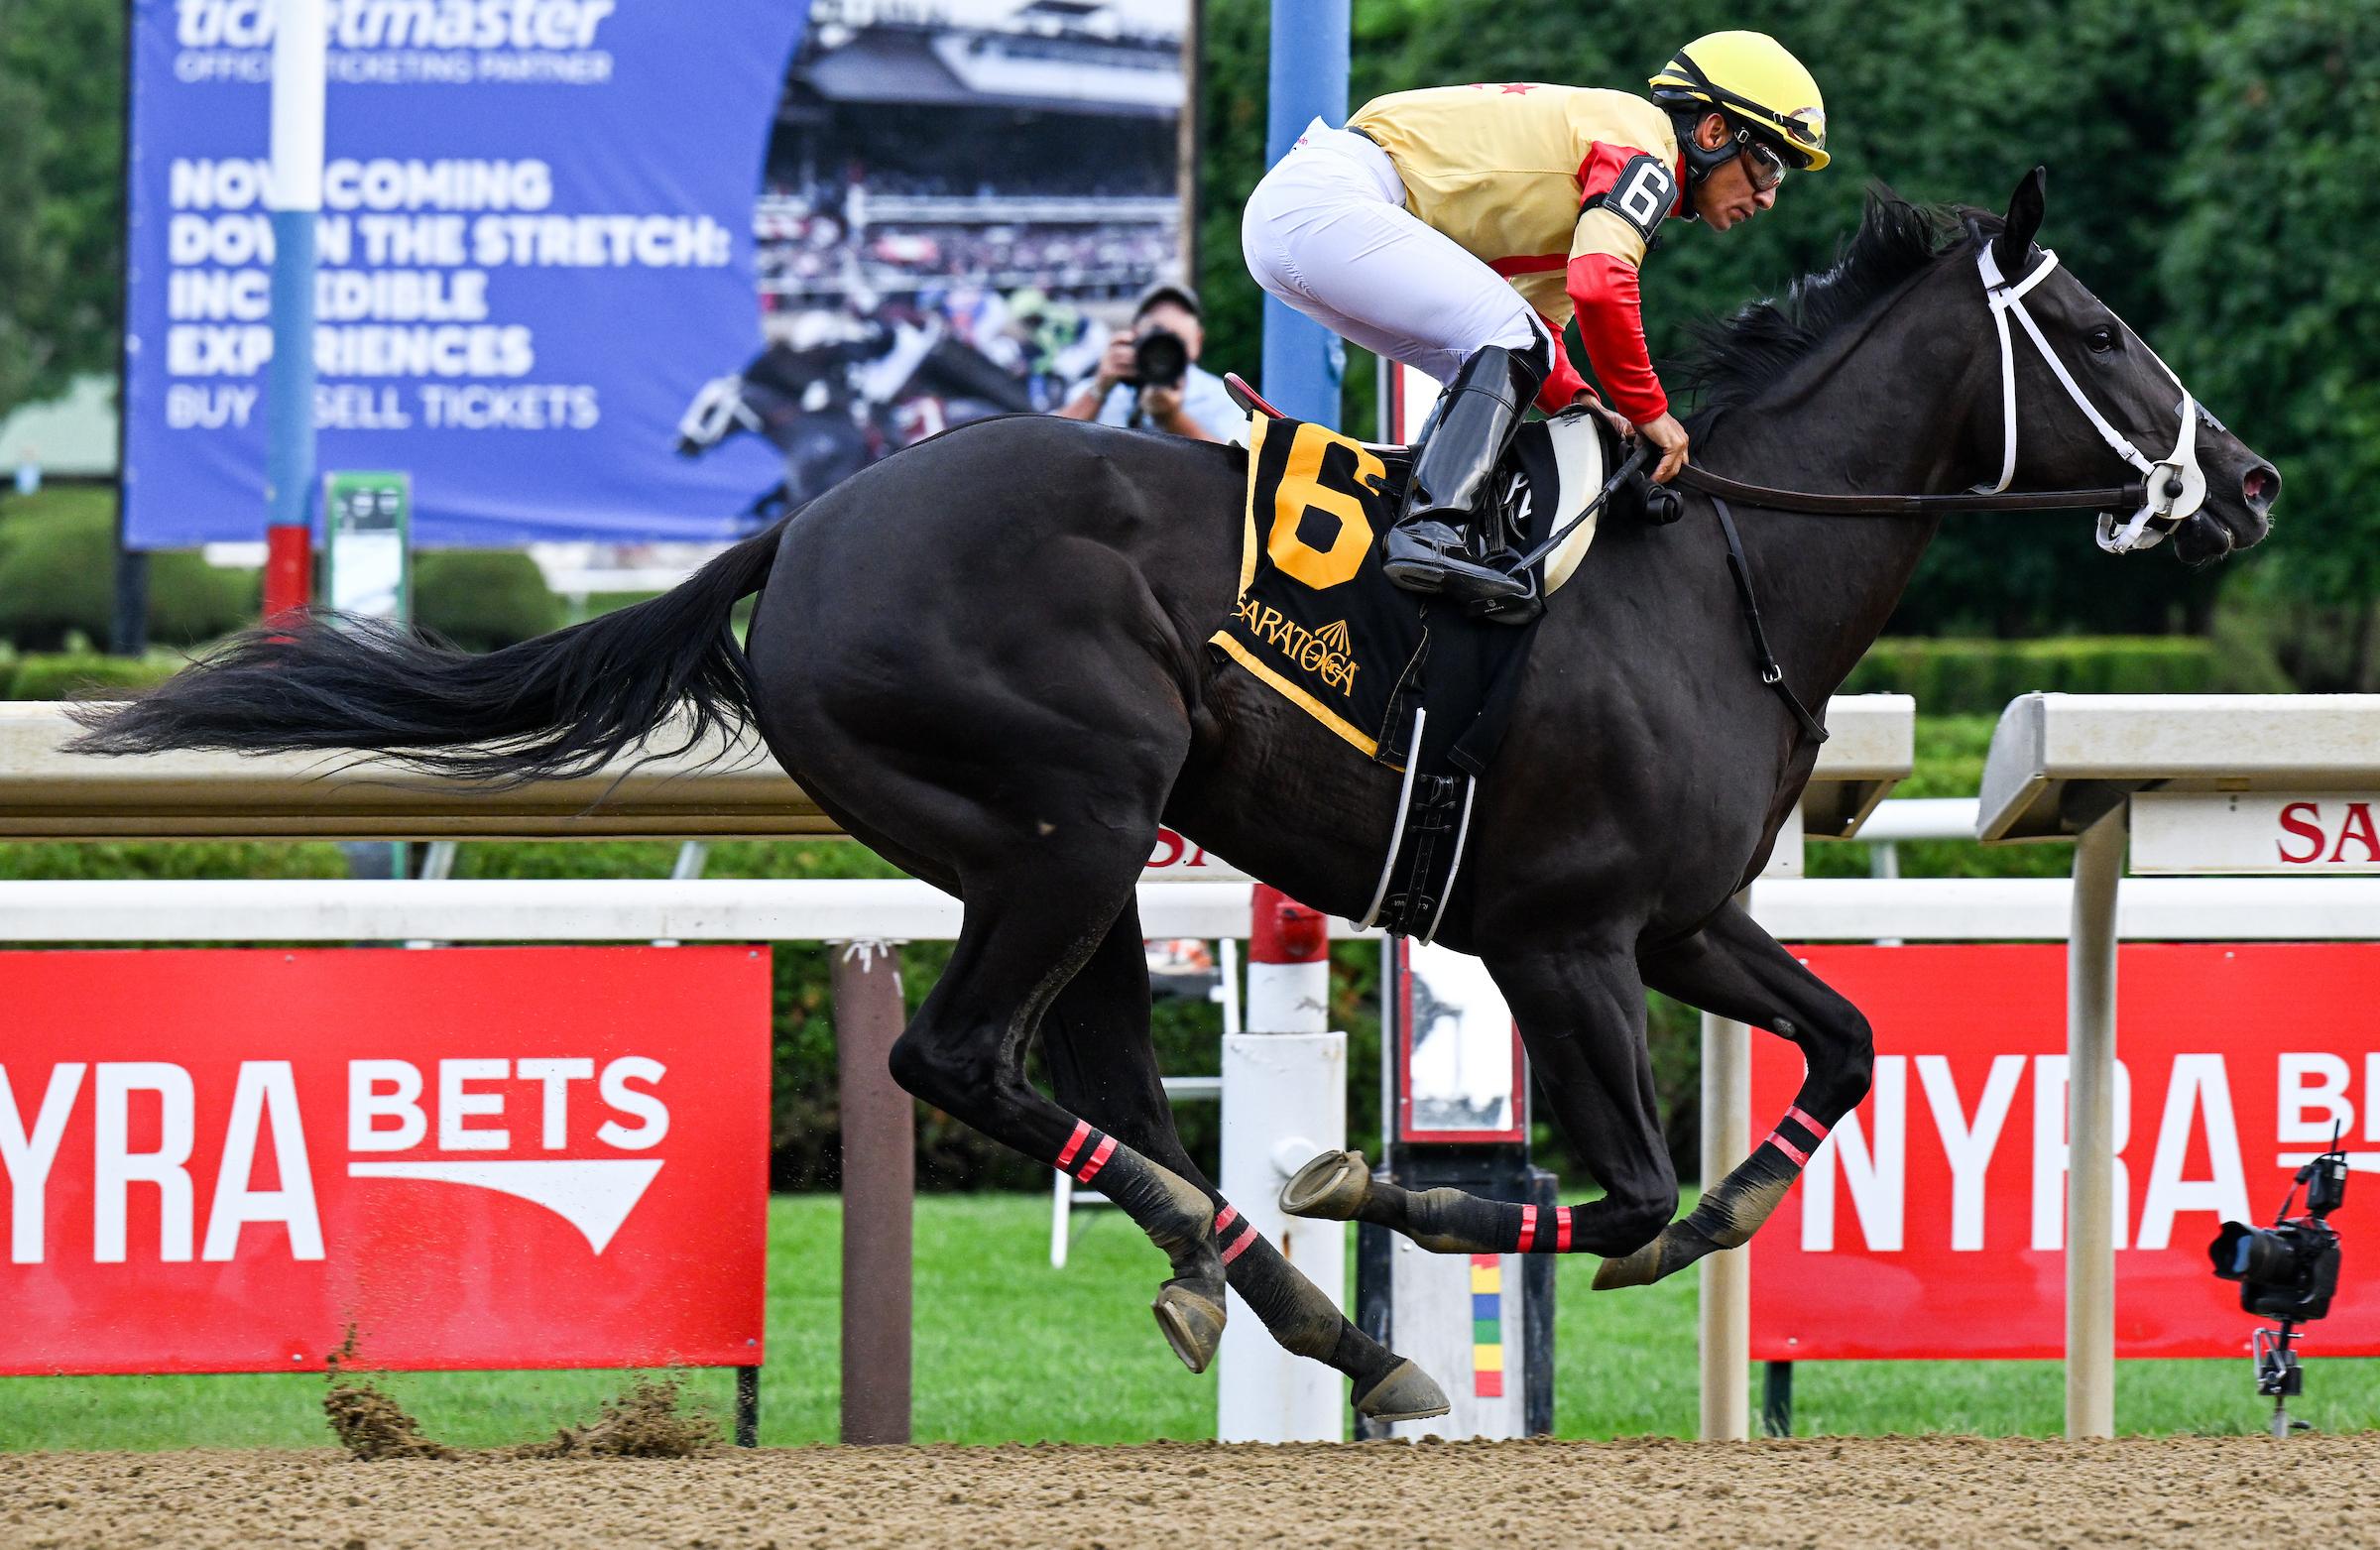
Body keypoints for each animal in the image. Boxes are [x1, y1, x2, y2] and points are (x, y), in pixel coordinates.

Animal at [72, 172, 2278, 1424]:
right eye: (2099, 330)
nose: (2246, 478)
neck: (1708, 574)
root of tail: (807, 529)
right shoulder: (1558, 936)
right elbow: (1628, 1184)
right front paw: (1395, 1194)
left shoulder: (1684, 919)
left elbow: (1848, 1044)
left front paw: (1710, 1213)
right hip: (1072, 805)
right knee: (959, 1056)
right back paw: (1321, 1298)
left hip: (1069, 851)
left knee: (1075, 1070)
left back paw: (1262, 1294)